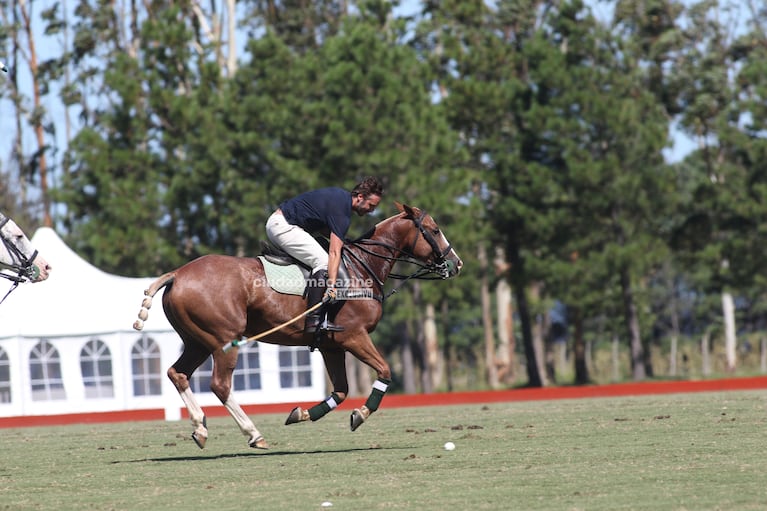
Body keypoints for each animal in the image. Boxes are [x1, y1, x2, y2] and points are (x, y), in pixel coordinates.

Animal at [132, 202, 462, 450]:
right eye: (434, 230)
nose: (456, 264)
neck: (361, 269)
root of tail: (177, 274)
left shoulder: (331, 345)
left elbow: (340, 391)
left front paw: (299, 413)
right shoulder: (354, 336)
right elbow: (384, 372)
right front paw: (360, 414)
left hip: (198, 341)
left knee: (178, 373)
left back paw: (201, 428)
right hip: (224, 339)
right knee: (220, 385)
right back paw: (254, 434)